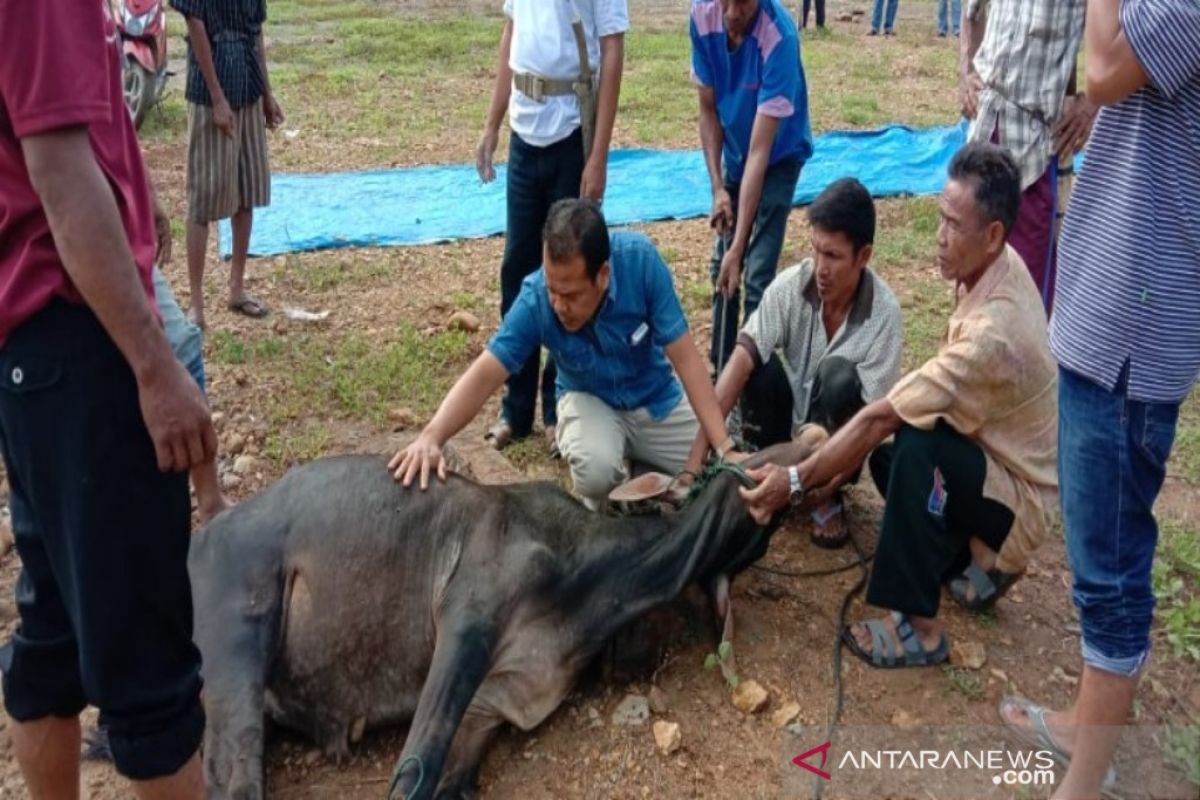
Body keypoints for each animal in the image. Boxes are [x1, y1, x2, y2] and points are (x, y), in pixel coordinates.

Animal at [182, 429, 825, 796]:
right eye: (753, 455)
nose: (814, 436)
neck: (594, 584)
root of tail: (204, 533)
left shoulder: (494, 706)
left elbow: (441, 779)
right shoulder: (468, 617)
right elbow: (412, 771)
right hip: (238, 635)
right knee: (234, 775)